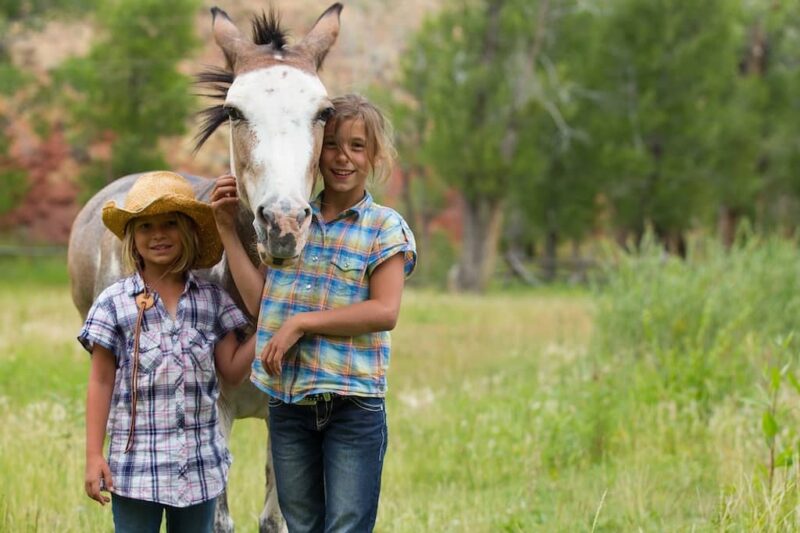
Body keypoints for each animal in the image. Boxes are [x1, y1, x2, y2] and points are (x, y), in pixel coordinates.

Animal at [67, 5, 342, 532]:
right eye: (235, 112)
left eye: (324, 113)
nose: (283, 225)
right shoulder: (214, 411)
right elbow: (216, 517)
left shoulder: (287, 417)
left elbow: (275, 518)